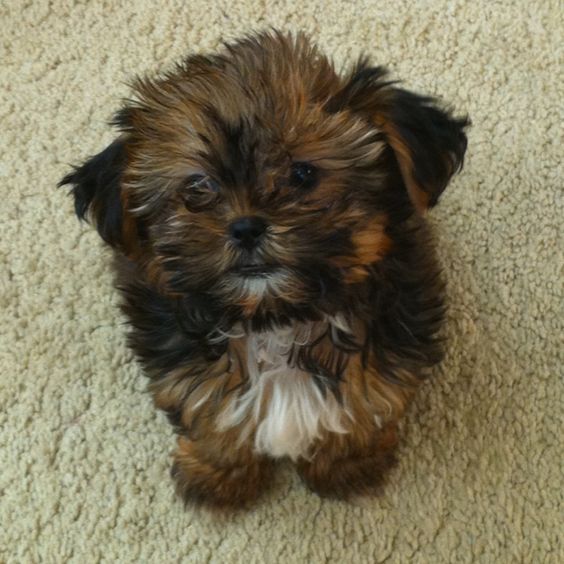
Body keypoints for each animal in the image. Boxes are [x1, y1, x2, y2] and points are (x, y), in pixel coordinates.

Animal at [59, 28, 470, 508]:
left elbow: (360, 405)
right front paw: (219, 475)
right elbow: (211, 416)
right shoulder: (184, 366)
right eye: (197, 187)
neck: (277, 320)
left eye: (303, 174)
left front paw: (345, 466)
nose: (245, 227)